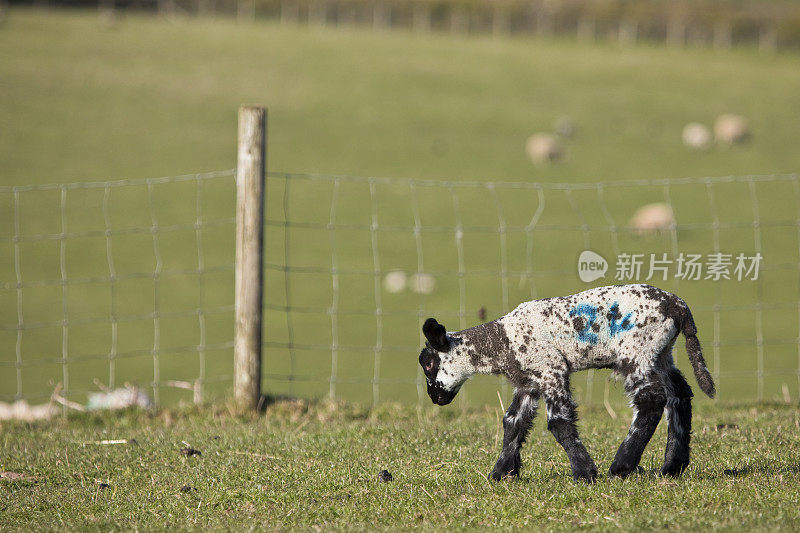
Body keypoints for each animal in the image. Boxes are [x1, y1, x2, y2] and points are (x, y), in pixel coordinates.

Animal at [416, 284, 716, 484]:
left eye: (428, 365)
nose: (434, 398)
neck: (501, 343)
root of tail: (678, 306)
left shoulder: (551, 368)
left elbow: (558, 423)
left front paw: (584, 473)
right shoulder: (529, 381)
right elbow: (513, 421)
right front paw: (501, 473)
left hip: (637, 350)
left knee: (651, 400)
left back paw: (622, 466)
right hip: (661, 353)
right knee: (680, 394)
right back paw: (673, 466)